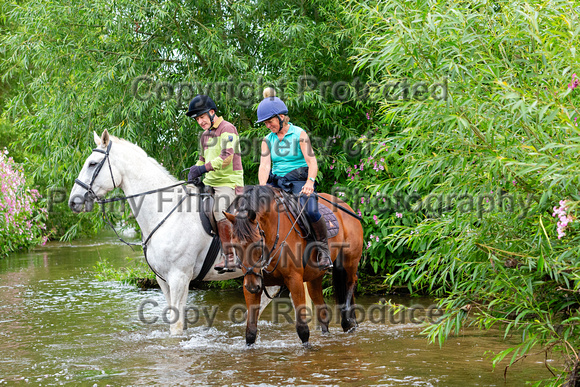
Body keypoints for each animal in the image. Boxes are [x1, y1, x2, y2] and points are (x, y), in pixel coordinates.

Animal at [223, 186, 362, 348]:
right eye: (234, 245)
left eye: (257, 242)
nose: (252, 286)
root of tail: (345, 206)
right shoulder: (252, 282)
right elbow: (250, 331)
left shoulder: (294, 280)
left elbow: (303, 330)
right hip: (314, 278)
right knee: (323, 312)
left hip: (350, 261)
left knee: (351, 282)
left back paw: (347, 320)